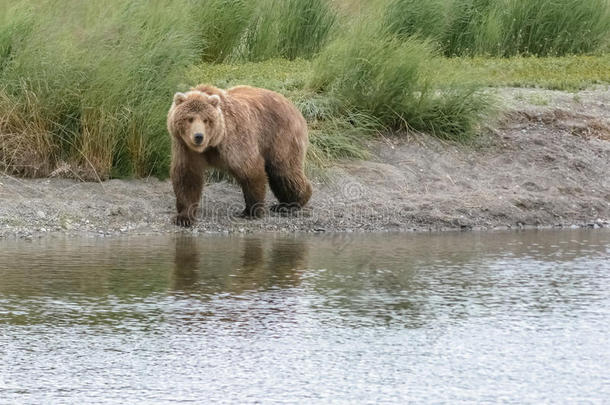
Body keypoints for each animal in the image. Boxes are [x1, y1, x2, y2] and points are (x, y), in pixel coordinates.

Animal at [166, 83, 312, 226]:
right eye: (189, 119)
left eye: (206, 120)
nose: (198, 136)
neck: (212, 144)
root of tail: (292, 105)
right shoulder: (186, 148)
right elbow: (187, 177)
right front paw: (184, 217)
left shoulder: (234, 141)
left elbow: (250, 170)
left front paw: (250, 211)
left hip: (280, 136)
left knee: (284, 170)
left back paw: (291, 204)